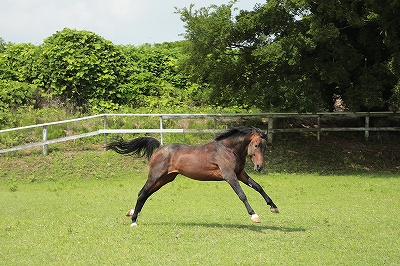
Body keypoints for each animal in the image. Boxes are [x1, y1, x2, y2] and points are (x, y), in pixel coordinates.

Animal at [106, 127, 278, 227]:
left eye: (265, 146)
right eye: (256, 145)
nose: (259, 167)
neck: (228, 149)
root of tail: (160, 148)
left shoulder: (240, 174)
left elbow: (258, 187)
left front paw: (273, 207)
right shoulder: (229, 176)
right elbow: (242, 195)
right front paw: (254, 216)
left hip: (165, 179)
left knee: (145, 194)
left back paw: (131, 213)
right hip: (155, 176)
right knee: (142, 193)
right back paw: (133, 221)